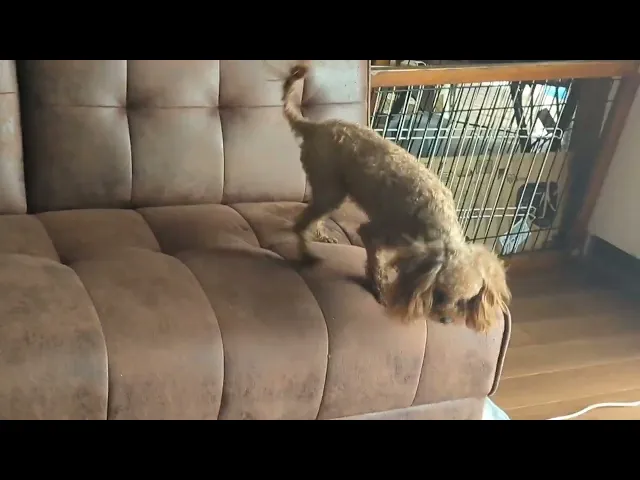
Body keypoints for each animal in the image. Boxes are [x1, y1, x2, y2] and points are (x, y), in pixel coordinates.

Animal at [282, 62, 510, 333]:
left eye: (465, 301)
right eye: (440, 294)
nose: (445, 320)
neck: (438, 222)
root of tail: (314, 126)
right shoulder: (373, 234)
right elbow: (376, 264)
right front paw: (379, 289)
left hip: (332, 191)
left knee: (312, 216)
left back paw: (319, 235)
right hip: (330, 189)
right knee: (300, 224)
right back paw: (306, 253)